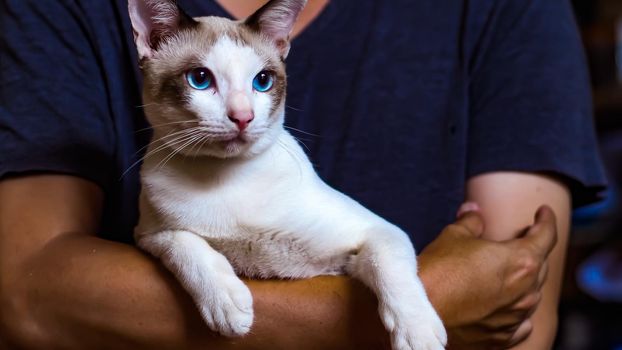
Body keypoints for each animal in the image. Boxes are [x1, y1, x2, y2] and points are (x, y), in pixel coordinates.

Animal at [128, 1, 448, 348]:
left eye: (262, 81)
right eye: (199, 79)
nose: (243, 117)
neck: (225, 178)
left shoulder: (373, 236)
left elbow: (388, 266)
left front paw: (418, 334)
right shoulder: (148, 235)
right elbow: (184, 244)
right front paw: (226, 304)